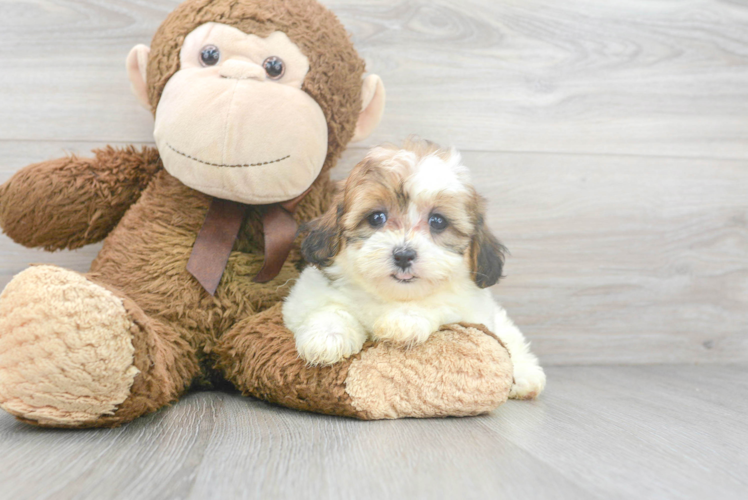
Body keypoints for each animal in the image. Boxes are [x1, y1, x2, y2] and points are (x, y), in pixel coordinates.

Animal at [284, 139, 548, 400]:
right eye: (376, 217)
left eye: (438, 221)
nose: (403, 255)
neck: (391, 296)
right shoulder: (303, 298)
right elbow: (329, 307)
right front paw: (327, 336)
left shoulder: (472, 311)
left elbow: (441, 305)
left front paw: (405, 320)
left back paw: (525, 377)